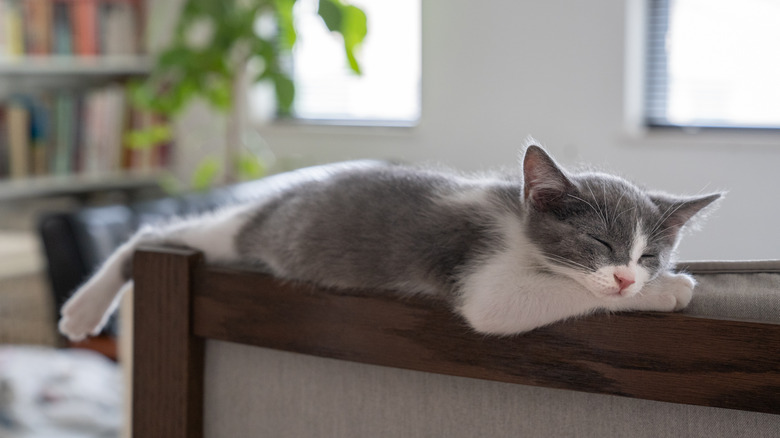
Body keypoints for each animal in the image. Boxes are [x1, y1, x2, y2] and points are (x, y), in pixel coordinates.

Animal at [58, 145, 724, 338]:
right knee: (154, 231)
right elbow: (510, 306)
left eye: (647, 253)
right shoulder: (479, 269)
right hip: (239, 233)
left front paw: (657, 286)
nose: (630, 276)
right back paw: (84, 308)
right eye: (598, 243)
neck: (518, 225)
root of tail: (284, 192)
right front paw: (667, 293)